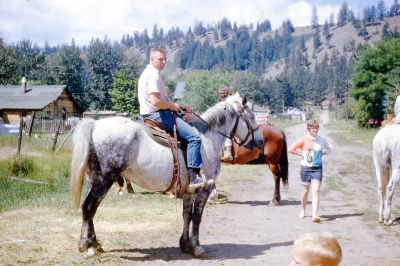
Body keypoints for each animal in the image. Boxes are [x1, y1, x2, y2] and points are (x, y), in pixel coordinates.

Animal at [69, 92, 262, 256]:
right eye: (252, 117)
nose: (260, 141)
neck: (207, 140)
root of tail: (95, 124)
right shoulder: (205, 189)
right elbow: (197, 217)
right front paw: (197, 247)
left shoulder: (188, 190)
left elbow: (187, 215)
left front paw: (185, 244)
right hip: (103, 180)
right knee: (89, 208)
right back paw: (88, 247)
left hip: (92, 179)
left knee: (88, 208)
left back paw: (93, 244)